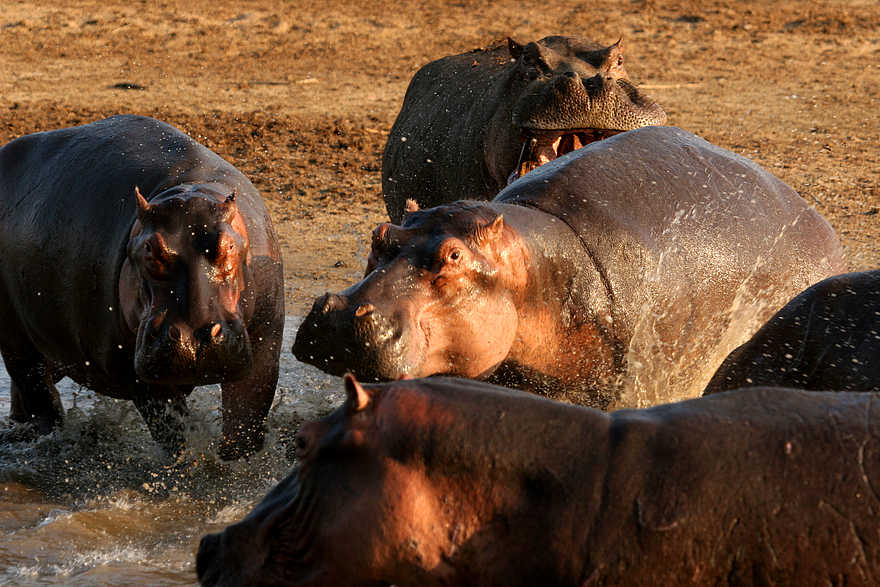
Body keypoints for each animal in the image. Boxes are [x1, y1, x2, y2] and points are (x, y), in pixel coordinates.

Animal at [0, 114, 284, 460]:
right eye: (149, 249)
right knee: (37, 391)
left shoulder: (264, 346)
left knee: (28, 393)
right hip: (16, 339)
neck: (192, 189)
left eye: (229, 246)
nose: (194, 338)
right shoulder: (134, 370)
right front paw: (189, 464)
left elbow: (246, 420)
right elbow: (171, 428)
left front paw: (235, 464)